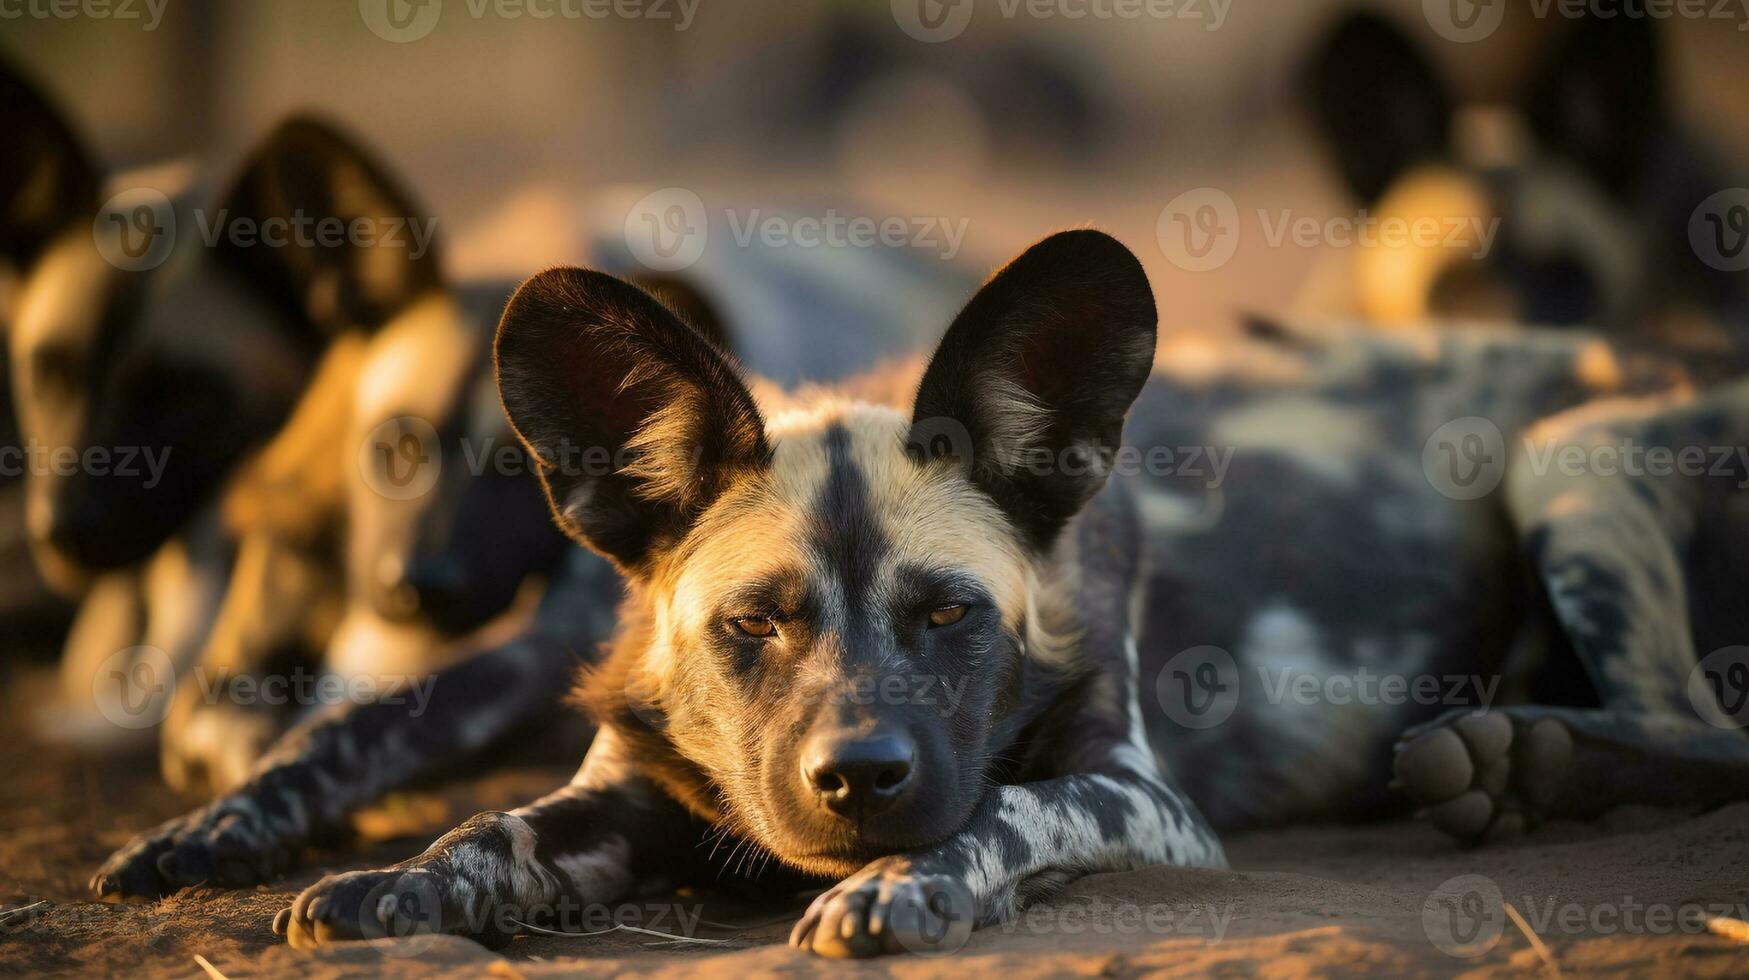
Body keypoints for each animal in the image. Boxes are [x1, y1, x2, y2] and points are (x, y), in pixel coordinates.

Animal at [92, 231, 1749, 959]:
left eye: (951, 615)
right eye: (751, 627)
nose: (859, 782)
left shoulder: (1141, 800)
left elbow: (1010, 807)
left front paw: (906, 885)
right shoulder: (620, 784)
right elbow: (480, 821)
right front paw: (393, 882)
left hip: (1567, 459)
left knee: (1708, 732)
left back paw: (1522, 761)